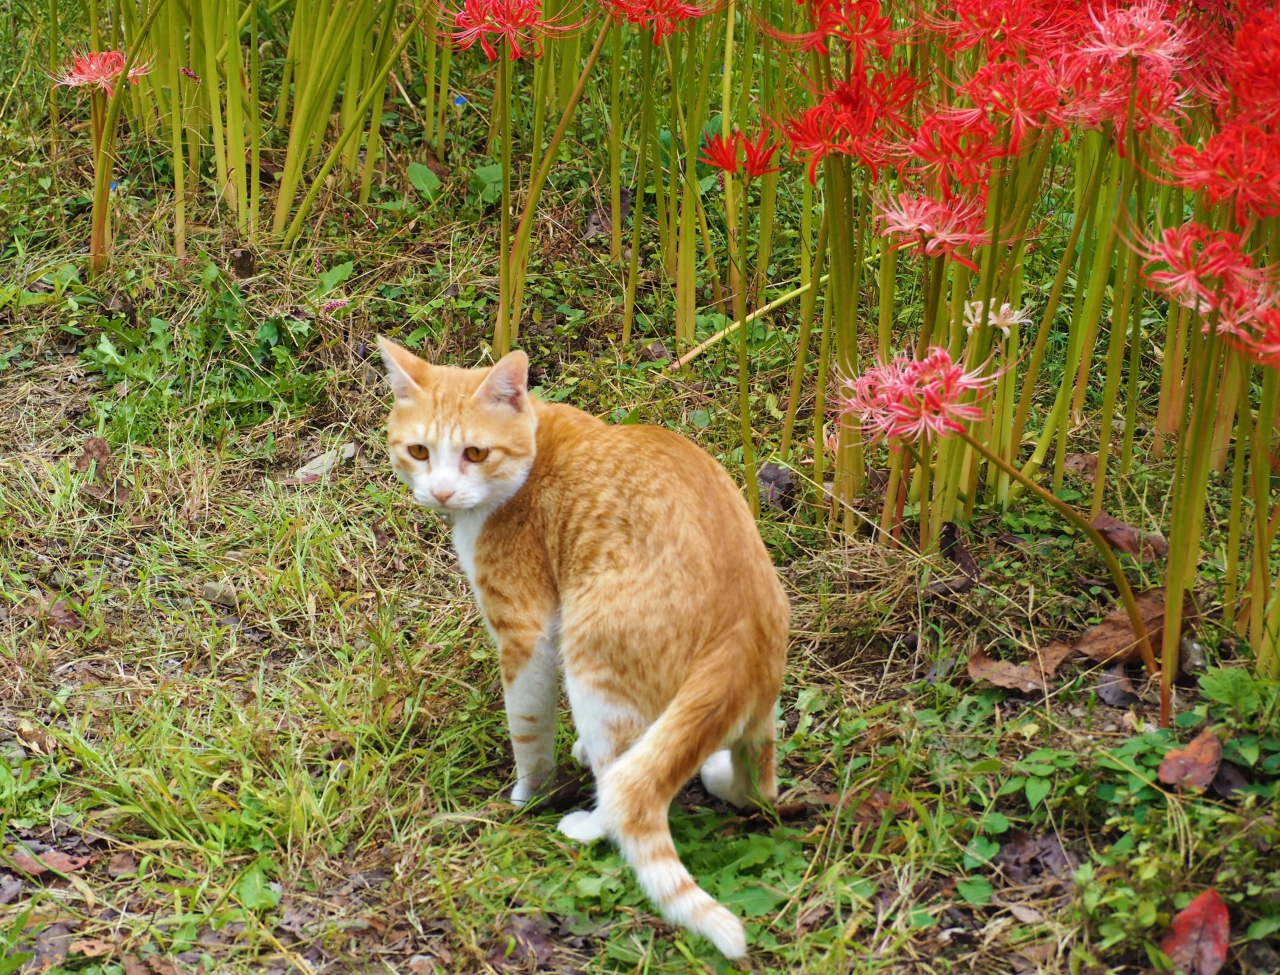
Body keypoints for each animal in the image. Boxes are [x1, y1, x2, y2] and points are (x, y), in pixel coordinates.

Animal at [378, 337, 783, 951]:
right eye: (420, 451)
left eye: (475, 452)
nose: (442, 490)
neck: (534, 448)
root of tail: (739, 631)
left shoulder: (526, 632)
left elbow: (527, 730)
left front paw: (529, 796)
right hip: (754, 720)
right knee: (751, 787)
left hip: (591, 663)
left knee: (625, 793)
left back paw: (589, 819)